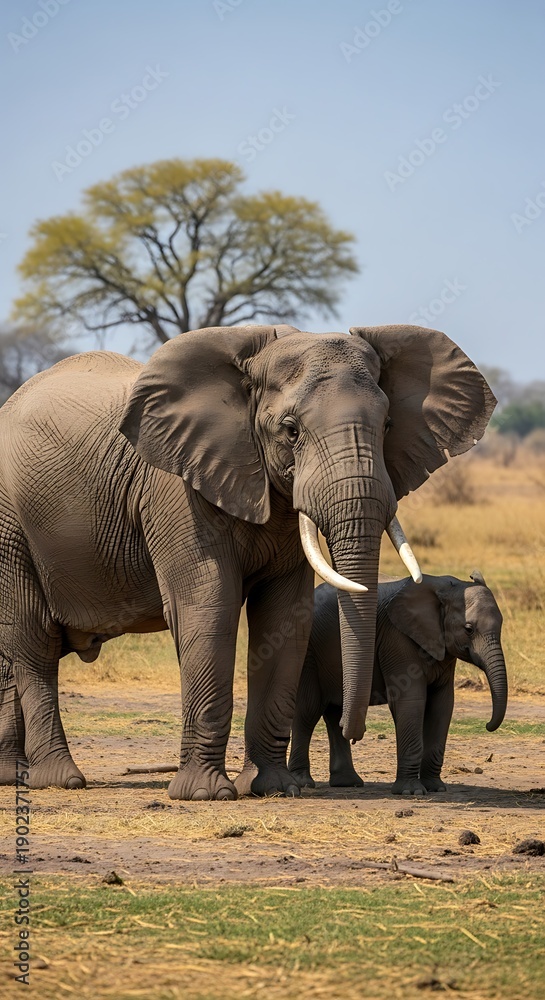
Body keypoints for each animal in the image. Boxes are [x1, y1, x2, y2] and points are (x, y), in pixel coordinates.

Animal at [288, 573, 507, 795]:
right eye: (469, 629)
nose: (488, 725)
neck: (446, 588)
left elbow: (442, 705)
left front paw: (435, 788)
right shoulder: (396, 638)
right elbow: (410, 701)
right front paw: (411, 792)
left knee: (335, 714)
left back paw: (348, 782)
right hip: (308, 652)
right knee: (307, 711)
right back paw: (303, 782)